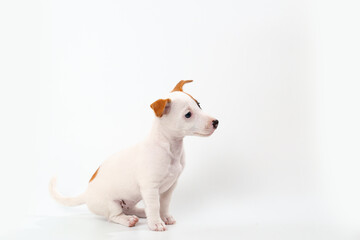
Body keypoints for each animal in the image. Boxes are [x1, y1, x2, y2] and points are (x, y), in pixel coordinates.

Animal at [48, 80, 218, 231]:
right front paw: (156, 223)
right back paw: (129, 220)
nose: (216, 122)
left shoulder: (170, 187)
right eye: (188, 115)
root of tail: (86, 193)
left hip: (129, 200)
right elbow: (155, 205)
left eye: (199, 105)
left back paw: (142, 212)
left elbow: (164, 204)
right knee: (114, 216)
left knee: (131, 208)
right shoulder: (150, 188)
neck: (169, 147)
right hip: (111, 204)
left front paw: (164, 217)